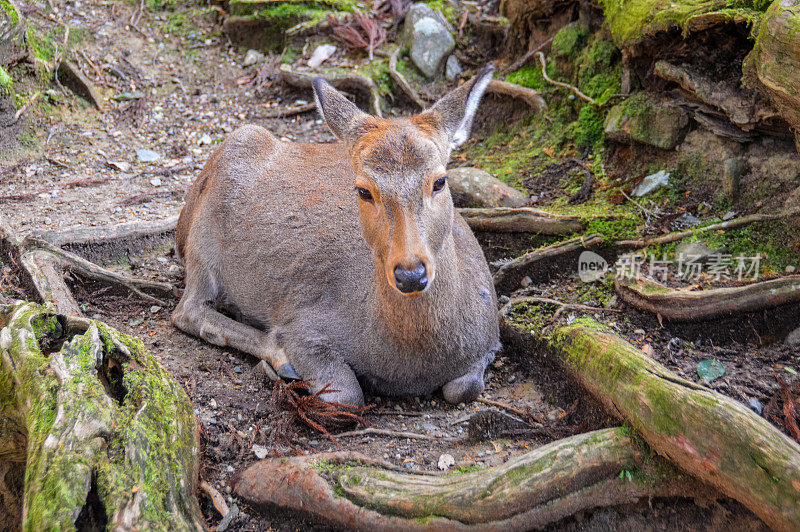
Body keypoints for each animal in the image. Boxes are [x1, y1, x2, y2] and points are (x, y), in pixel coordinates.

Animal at [171, 67, 500, 408]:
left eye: (440, 181)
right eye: (363, 190)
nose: (410, 273)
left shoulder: (490, 339)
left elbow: (465, 387)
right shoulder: (306, 324)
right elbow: (347, 394)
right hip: (203, 238)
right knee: (188, 310)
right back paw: (278, 360)